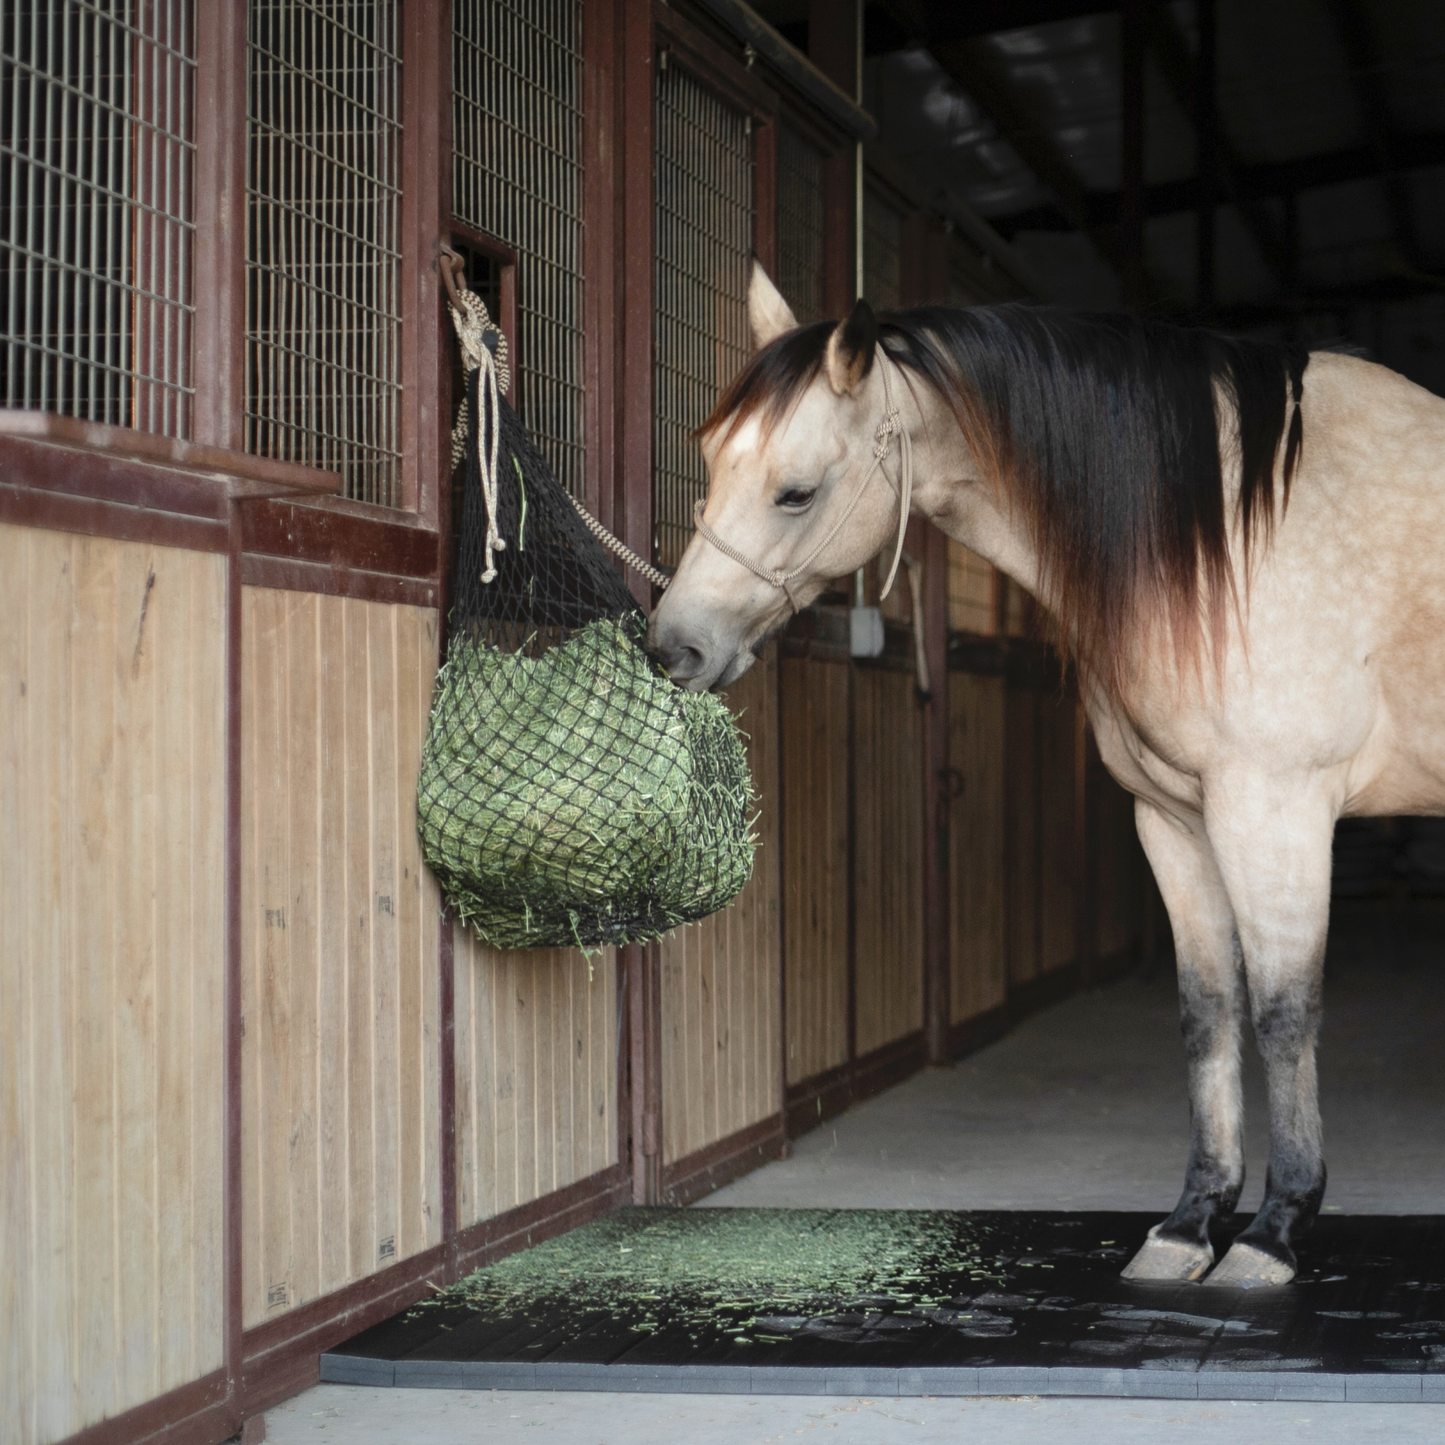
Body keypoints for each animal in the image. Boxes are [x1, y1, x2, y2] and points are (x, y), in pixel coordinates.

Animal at [650, 257, 1445, 1288]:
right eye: (710, 461)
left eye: (795, 492)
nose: (674, 647)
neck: (1228, 531)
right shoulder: (1173, 817)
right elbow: (1207, 1011)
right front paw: (1189, 1224)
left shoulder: (1274, 809)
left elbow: (1280, 1013)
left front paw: (1271, 1233)